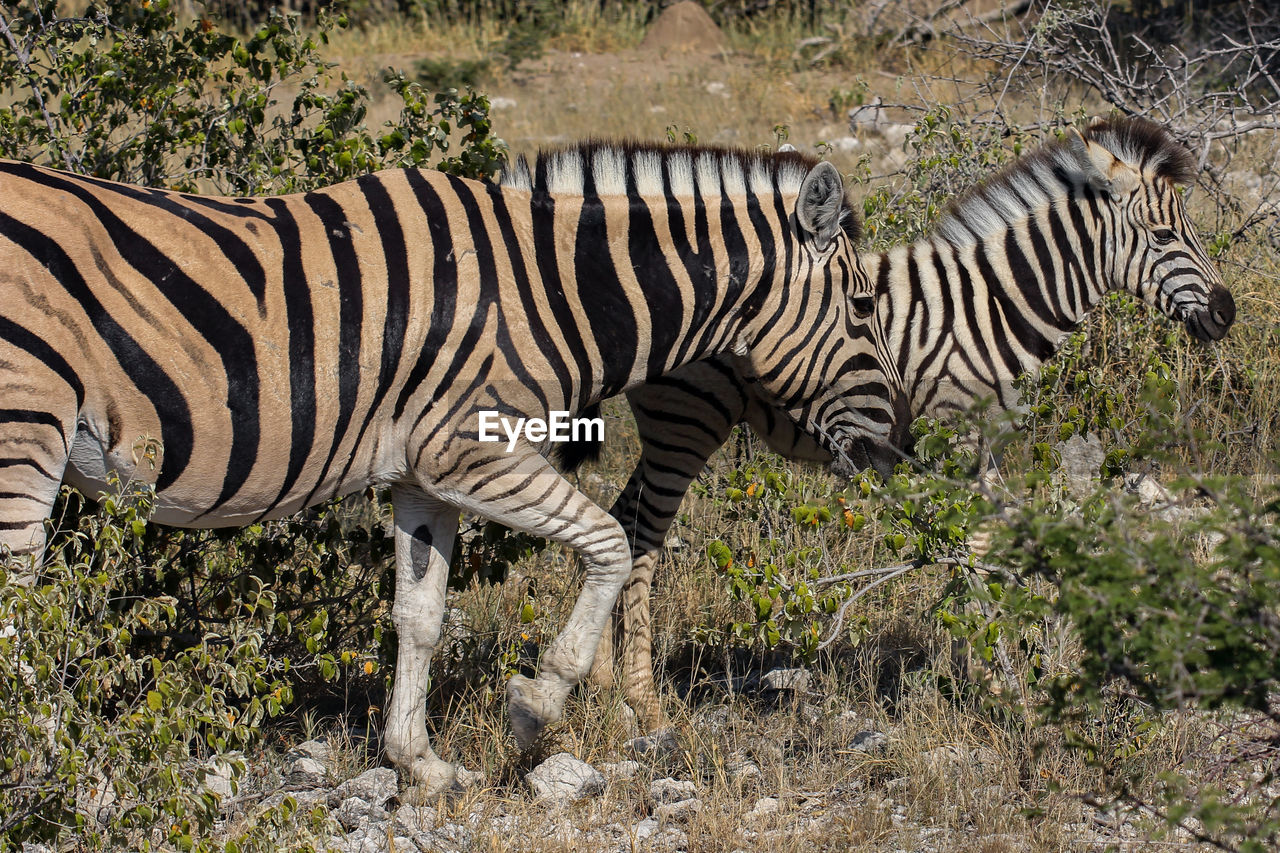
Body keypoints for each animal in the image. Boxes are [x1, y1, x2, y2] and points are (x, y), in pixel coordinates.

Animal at [0, 140, 890, 788]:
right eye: (863, 306)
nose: (891, 449)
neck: (549, 290)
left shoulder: (422, 478)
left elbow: (418, 614)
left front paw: (419, 763)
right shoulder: (475, 450)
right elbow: (607, 543)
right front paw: (535, 705)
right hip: (26, 426)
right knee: (17, 615)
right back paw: (46, 771)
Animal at [524, 114, 1233, 722]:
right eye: (1166, 237)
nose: (1226, 313)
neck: (990, 307)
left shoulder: (985, 448)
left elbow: (986, 549)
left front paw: (995, 672)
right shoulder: (954, 438)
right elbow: (972, 549)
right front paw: (993, 679)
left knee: (622, 517)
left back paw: (605, 682)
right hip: (688, 423)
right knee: (642, 535)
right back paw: (642, 701)